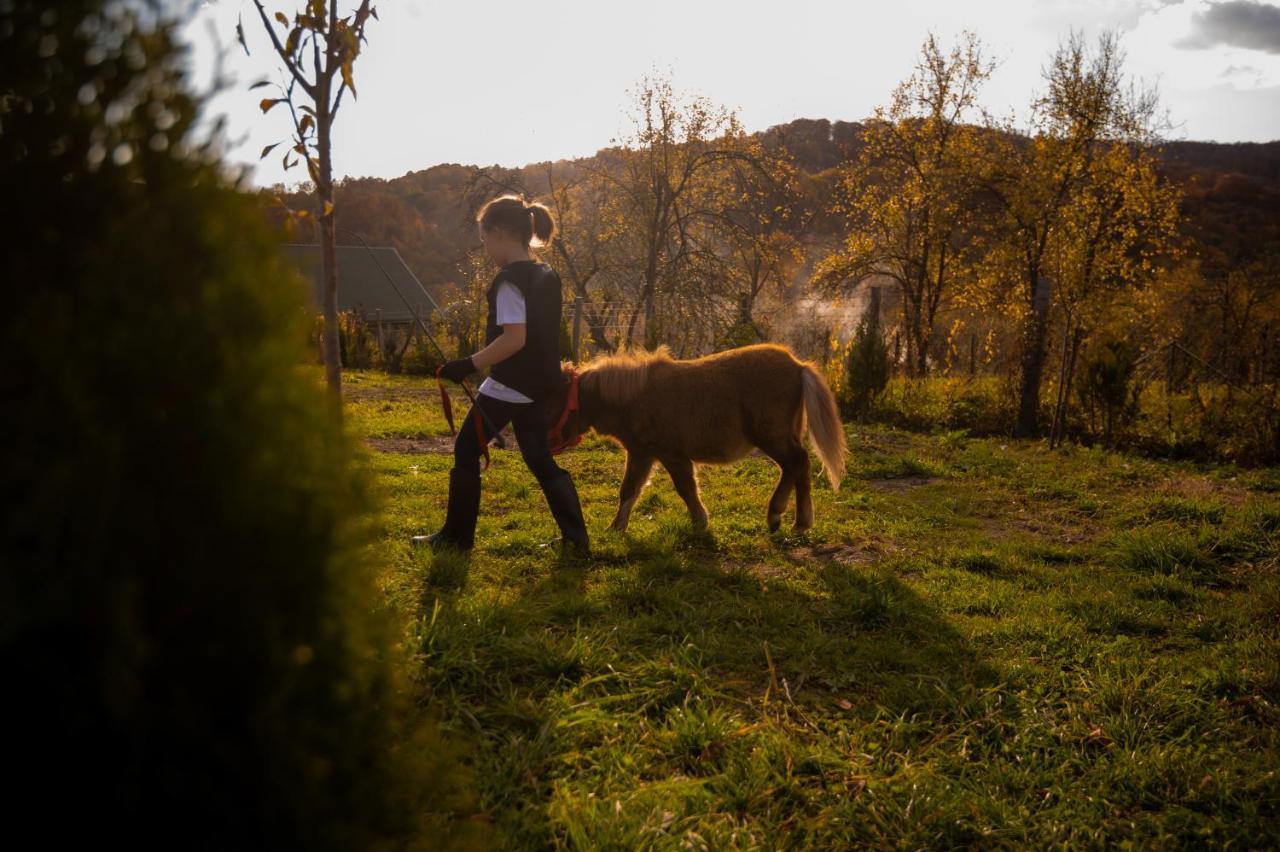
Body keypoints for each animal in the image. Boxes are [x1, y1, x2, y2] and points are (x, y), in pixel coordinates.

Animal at [545, 340, 844, 527]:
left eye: (552, 402)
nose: (547, 443)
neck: (635, 397)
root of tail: (798, 365)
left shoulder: (671, 454)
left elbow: (685, 488)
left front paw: (700, 521)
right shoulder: (642, 454)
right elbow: (629, 490)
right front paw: (616, 529)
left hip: (772, 437)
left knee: (797, 463)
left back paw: (784, 517)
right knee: (797, 467)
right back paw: (794, 520)